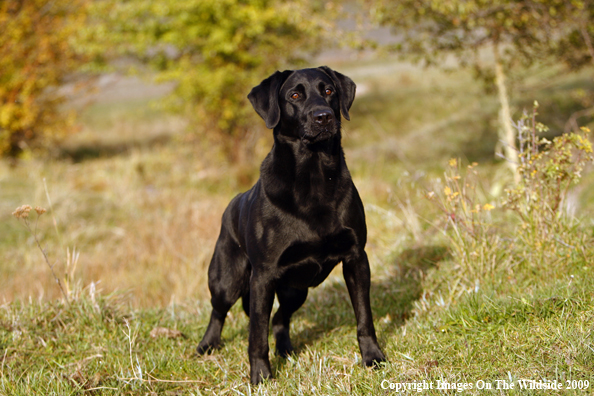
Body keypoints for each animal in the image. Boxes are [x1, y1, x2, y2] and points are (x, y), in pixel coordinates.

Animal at [197, 65, 386, 384]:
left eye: (329, 91)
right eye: (295, 95)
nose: (324, 116)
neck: (314, 175)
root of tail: (231, 204)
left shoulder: (356, 259)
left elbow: (364, 317)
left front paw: (372, 357)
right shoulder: (263, 276)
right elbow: (256, 335)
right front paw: (261, 376)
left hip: (296, 289)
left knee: (278, 318)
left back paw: (286, 350)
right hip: (228, 280)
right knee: (219, 312)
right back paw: (207, 345)